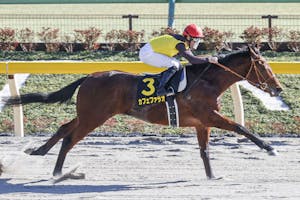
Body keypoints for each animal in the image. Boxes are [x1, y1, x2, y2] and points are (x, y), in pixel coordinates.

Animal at [4, 45, 282, 180]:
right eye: (263, 65)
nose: (277, 88)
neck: (207, 81)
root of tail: (88, 77)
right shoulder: (209, 116)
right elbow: (240, 127)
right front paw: (270, 148)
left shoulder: (202, 122)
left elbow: (205, 151)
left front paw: (212, 176)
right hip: (94, 117)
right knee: (70, 138)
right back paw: (59, 172)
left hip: (89, 114)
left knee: (64, 128)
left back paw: (39, 152)